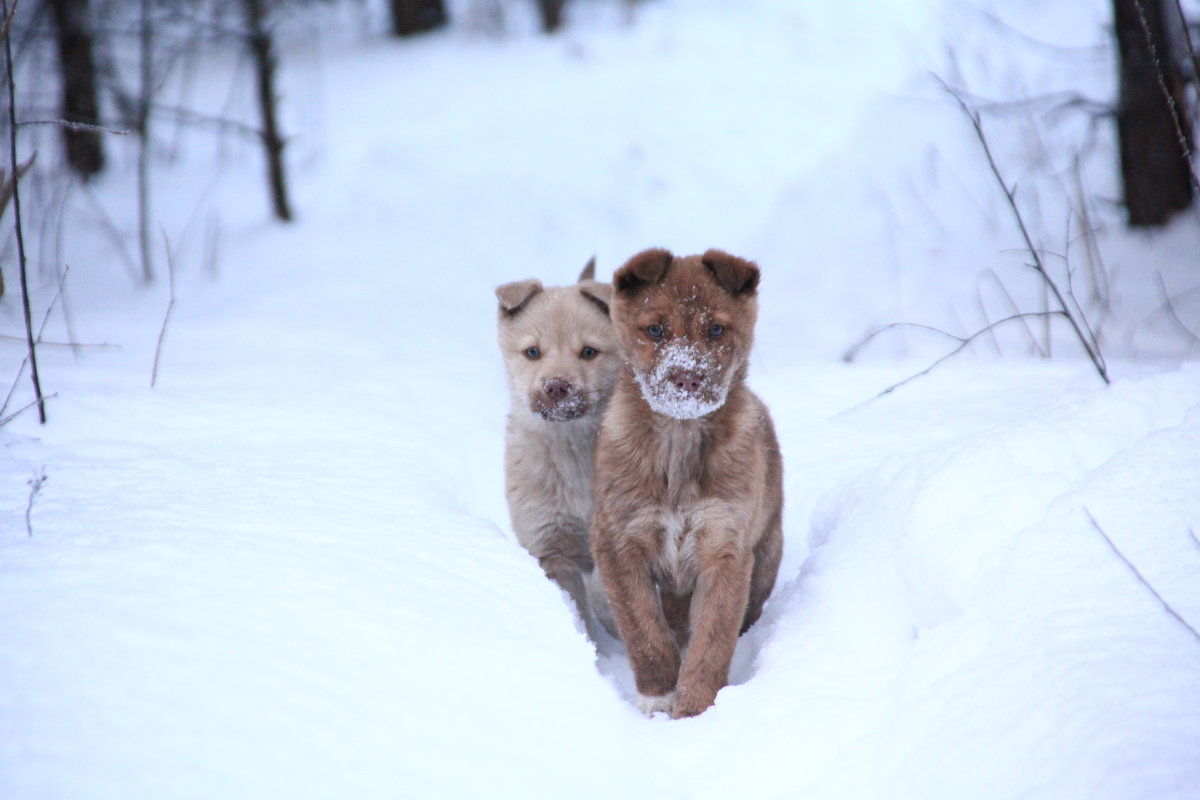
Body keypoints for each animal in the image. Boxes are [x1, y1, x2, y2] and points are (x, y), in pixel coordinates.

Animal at [592, 247, 782, 714]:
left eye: (715, 329)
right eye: (655, 329)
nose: (687, 377)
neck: (678, 442)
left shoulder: (726, 547)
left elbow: (712, 641)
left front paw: (696, 710)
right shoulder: (619, 541)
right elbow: (644, 630)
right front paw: (658, 695)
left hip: (766, 556)